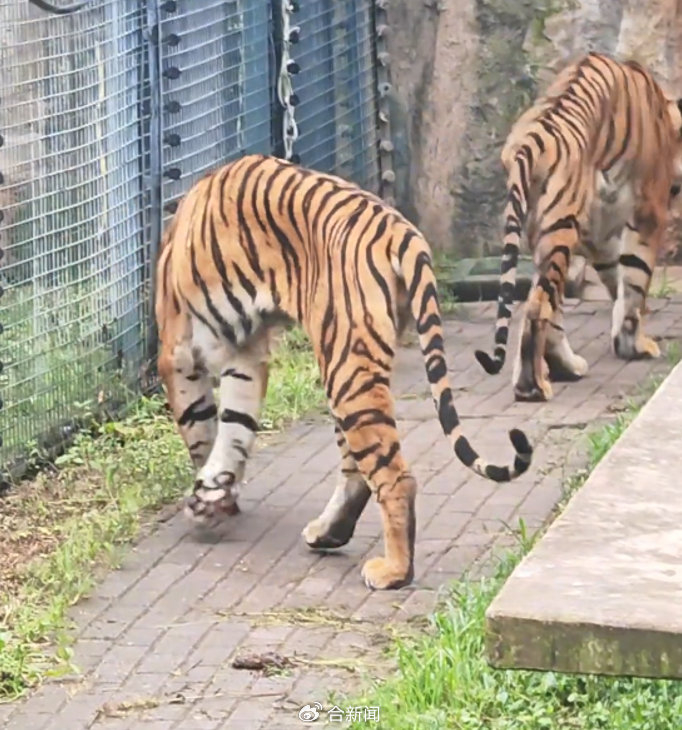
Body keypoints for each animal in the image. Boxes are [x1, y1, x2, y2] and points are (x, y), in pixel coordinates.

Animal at [155, 154, 533, 591]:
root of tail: (400, 231)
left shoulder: (179, 353)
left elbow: (201, 429)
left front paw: (208, 500)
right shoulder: (246, 355)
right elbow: (235, 427)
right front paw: (217, 492)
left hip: (346, 366)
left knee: (394, 477)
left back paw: (393, 572)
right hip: (348, 367)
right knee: (356, 470)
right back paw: (328, 534)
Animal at [474, 52, 682, 402]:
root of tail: (531, 139)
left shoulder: (598, 233)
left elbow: (617, 279)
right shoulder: (648, 211)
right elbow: (635, 280)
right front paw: (635, 344)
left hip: (547, 233)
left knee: (548, 303)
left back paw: (561, 368)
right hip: (561, 229)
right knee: (538, 307)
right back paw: (533, 386)